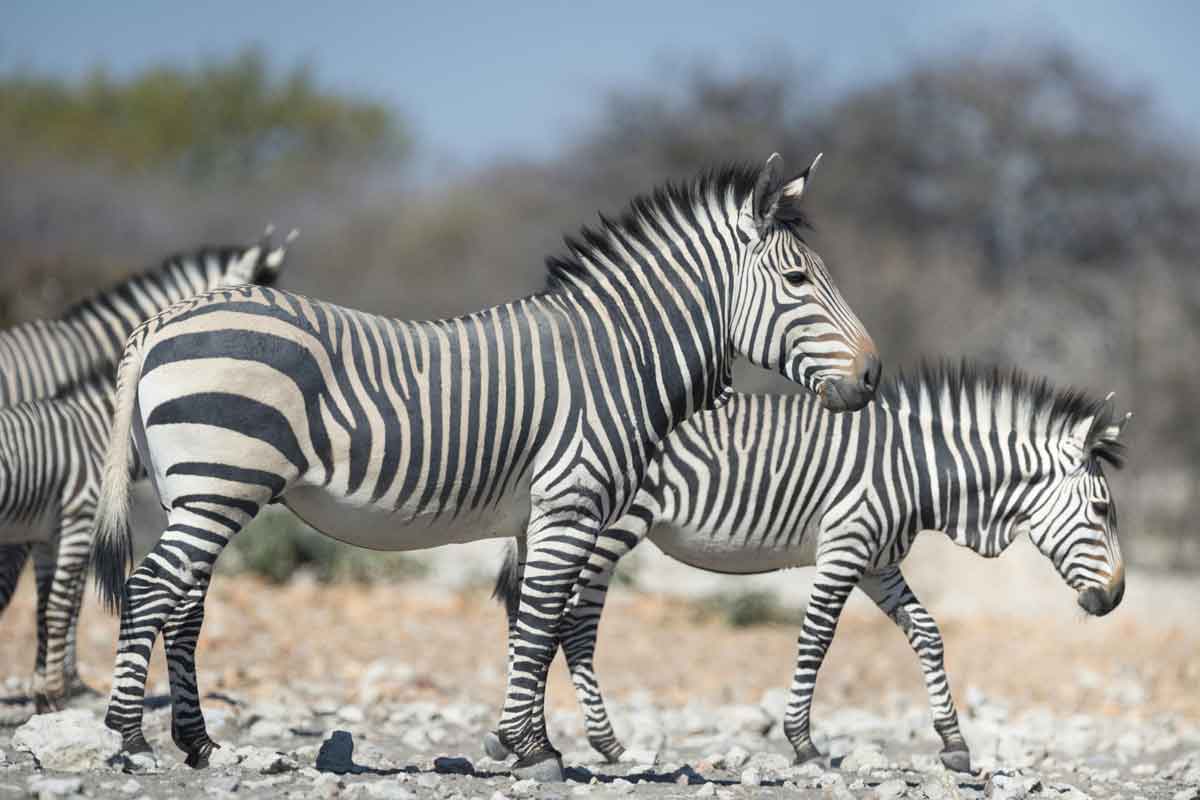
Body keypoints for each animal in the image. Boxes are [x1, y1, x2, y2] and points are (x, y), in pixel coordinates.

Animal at [88, 153, 883, 777]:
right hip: (220, 485)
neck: (619, 358)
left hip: (195, 490)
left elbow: (532, 617)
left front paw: (520, 740)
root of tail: (166, 318)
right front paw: (536, 752)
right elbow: (544, 617)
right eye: (797, 281)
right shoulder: (571, 503)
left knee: (184, 603)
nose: (874, 376)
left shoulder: (541, 516)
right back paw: (130, 739)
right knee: (151, 589)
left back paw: (199, 744)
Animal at [484, 367, 1123, 772]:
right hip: (608, 528)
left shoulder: (877, 563)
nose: (1114, 600)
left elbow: (927, 634)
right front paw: (804, 744)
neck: (919, 473)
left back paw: (529, 742)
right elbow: (815, 641)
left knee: (540, 617)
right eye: (1101, 509)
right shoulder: (845, 548)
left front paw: (954, 743)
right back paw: (594, 744)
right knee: (564, 623)